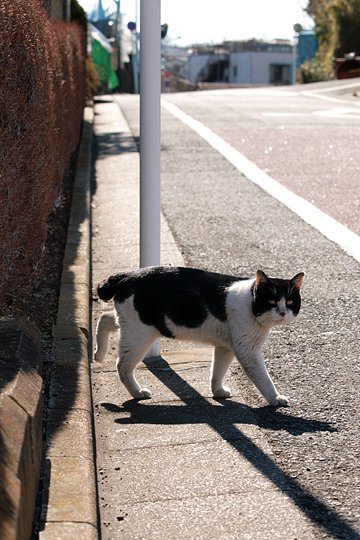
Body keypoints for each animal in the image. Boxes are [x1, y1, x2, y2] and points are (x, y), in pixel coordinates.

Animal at [95, 266, 304, 404]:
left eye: (290, 301)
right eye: (271, 301)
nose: (282, 312)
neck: (250, 304)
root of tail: (127, 275)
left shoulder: (225, 347)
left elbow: (217, 370)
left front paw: (217, 391)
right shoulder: (247, 351)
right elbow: (263, 378)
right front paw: (276, 398)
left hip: (131, 324)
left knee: (104, 318)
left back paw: (98, 354)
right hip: (139, 334)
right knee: (122, 365)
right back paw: (137, 392)